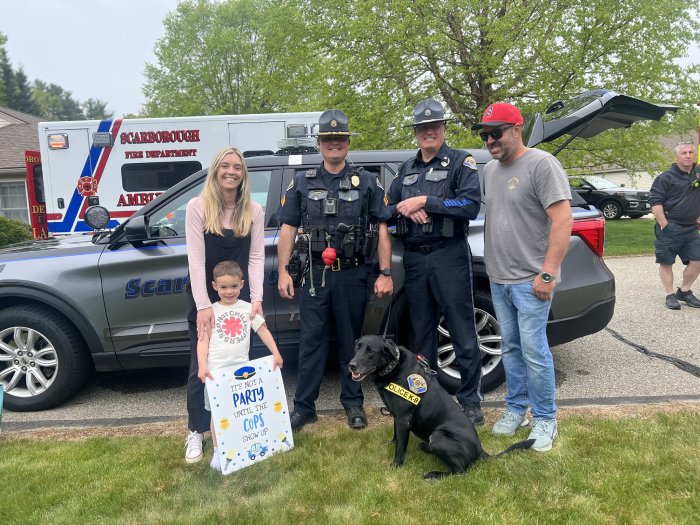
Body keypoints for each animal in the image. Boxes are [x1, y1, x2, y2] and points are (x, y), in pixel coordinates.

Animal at [348, 336, 532, 478]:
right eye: (357, 348)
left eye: (371, 351)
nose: (351, 365)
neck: (393, 367)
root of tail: (480, 450)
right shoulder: (397, 416)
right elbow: (396, 437)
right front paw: (391, 444)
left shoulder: (403, 418)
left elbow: (401, 447)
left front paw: (396, 465)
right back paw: (425, 447)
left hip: (438, 436)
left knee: (460, 470)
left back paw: (435, 474)